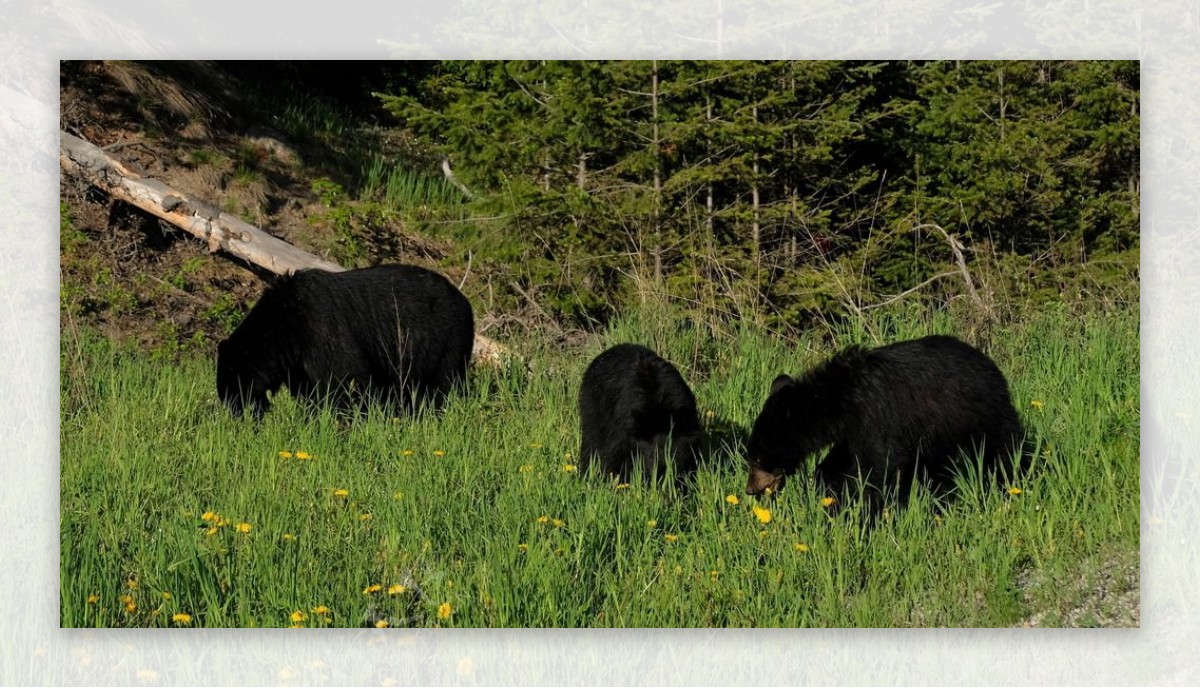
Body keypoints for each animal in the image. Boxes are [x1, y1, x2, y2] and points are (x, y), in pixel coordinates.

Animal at [216, 262, 472, 415]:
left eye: (233, 394)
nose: (238, 417)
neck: (285, 325)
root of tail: (465, 299)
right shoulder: (297, 361)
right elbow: (309, 391)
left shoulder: (320, 324)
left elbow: (345, 376)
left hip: (445, 342)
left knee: (441, 385)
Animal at [576, 343, 700, 482]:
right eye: (652, 458)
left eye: (673, 458)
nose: (661, 475)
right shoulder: (621, 428)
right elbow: (612, 454)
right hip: (593, 409)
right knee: (592, 442)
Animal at [739, 333, 1022, 499]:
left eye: (758, 457)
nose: (751, 489)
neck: (838, 400)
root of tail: (989, 362)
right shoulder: (853, 431)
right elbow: (839, 462)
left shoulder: (878, 417)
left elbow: (879, 465)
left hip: (983, 414)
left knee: (1004, 448)